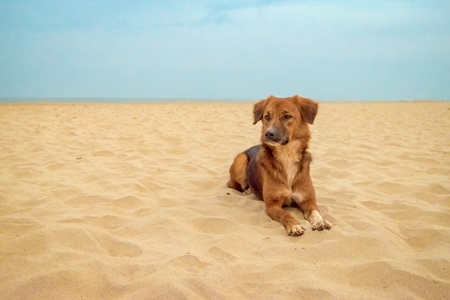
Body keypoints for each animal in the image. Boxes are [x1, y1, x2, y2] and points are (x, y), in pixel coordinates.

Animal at [229, 95, 330, 236]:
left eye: (287, 116)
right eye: (267, 117)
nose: (268, 134)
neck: (287, 155)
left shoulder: (308, 201)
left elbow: (316, 212)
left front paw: (320, 222)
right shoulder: (272, 205)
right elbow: (285, 214)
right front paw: (294, 225)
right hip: (241, 159)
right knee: (236, 185)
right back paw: (248, 189)